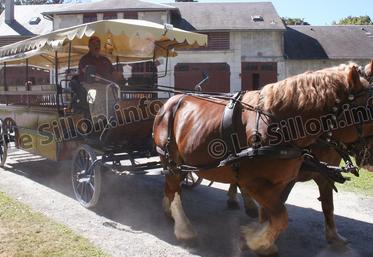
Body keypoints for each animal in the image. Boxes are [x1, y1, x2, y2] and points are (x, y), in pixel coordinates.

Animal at [151, 60, 372, 254]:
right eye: (365, 111)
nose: (370, 159)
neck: (279, 125)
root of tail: (171, 102)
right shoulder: (254, 182)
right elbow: (281, 215)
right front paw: (256, 239)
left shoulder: (283, 182)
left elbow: (278, 213)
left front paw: (264, 240)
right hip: (170, 158)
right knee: (174, 186)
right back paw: (183, 228)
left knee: (172, 185)